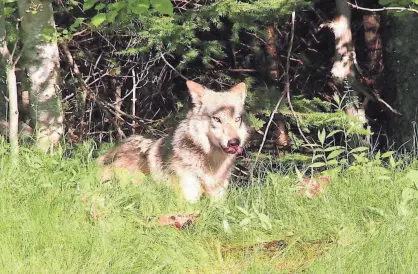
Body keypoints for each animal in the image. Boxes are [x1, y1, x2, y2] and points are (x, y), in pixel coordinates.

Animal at [96, 80, 250, 202]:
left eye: (237, 119)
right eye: (217, 119)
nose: (234, 142)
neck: (211, 163)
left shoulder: (219, 199)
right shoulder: (187, 200)